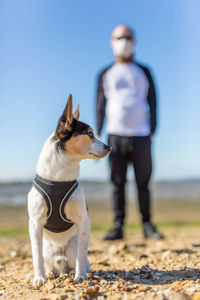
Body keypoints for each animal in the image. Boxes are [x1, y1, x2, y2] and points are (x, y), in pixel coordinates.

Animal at [27, 95, 111, 288]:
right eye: (89, 133)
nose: (109, 147)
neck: (59, 179)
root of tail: (60, 260)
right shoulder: (34, 223)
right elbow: (36, 256)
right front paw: (39, 278)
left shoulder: (84, 220)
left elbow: (82, 253)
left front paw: (80, 277)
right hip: (47, 249)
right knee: (46, 261)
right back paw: (49, 273)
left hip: (72, 247)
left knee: (79, 258)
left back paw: (75, 272)